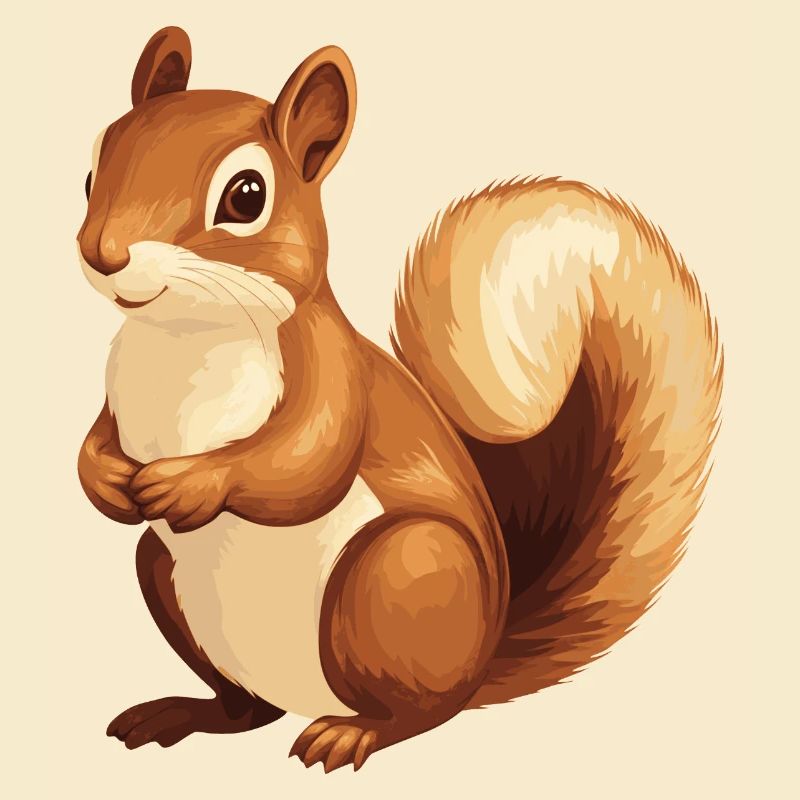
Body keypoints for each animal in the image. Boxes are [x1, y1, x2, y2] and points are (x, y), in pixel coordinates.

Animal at [77, 26, 722, 772]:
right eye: (92, 169)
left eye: (246, 195)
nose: (102, 253)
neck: (181, 340)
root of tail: (481, 664)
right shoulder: (114, 395)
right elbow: (95, 442)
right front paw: (106, 480)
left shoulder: (332, 372)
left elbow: (307, 460)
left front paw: (191, 483)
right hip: (164, 576)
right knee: (246, 711)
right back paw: (186, 712)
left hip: (399, 576)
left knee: (418, 714)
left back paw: (351, 734)